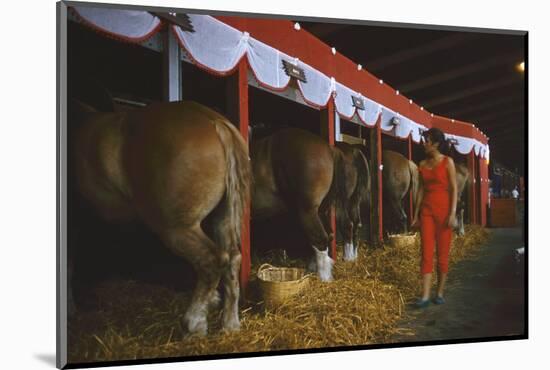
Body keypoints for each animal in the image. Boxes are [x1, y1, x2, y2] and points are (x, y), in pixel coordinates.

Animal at [70, 99, 251, 334]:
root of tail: (215, 122)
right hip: (222, 219)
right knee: (232, 258)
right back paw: (230, 324)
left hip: (176, 229)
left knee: (212, 260)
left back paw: (194, 323)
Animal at [251, 127, 344, 280]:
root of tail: (329, 149)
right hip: (319, 211)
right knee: (327, 236)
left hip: (307, 211)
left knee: (320, 239)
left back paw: (324, 278)